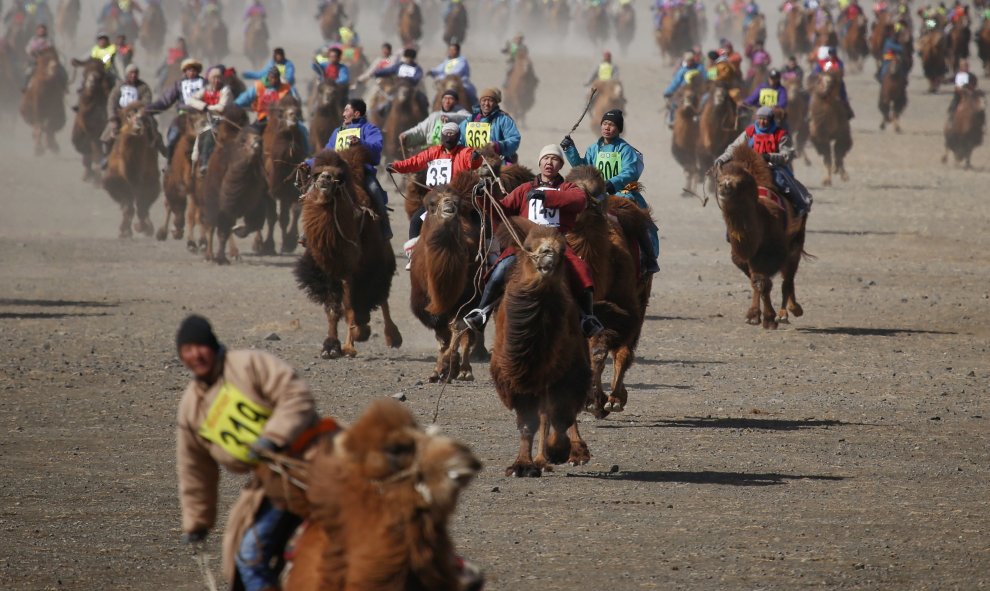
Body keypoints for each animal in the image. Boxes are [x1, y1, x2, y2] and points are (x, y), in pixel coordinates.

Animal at [103, 103, 160, 239]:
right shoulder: (114, 182)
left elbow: (142, 206)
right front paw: (125, 231)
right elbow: (128, 206)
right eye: (128, 116)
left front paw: (143, 228)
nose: (138, 128)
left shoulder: (151, 183)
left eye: (144, 117)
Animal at [294, 147, 404, 360]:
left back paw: (392, 337)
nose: (325, 179)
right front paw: (330, 347)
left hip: (379, 259)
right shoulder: (327, 271)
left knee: (381, 296)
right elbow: (334, 309)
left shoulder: (351, 269)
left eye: (338, 176)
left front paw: (352, 341)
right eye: (316, 173)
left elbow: (350, 305)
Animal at [492, 222, 592, 476]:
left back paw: (574, 453)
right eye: (529, 247)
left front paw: (557, 451)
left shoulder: (568, 370)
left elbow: (560, 413)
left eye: (563, 249)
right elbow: (528, 421)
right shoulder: (514, 377)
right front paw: (522, 465)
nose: (548, 253)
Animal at [716, 143, 808, 328]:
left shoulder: (772, 252)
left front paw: (770, 319)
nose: (724, 186)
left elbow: (763, 282)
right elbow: (756, 282)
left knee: (788, 278)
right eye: (719, 179)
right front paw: (754, 316)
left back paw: (788, 312)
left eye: (739, 181)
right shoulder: (742, 257)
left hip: (796, 241)